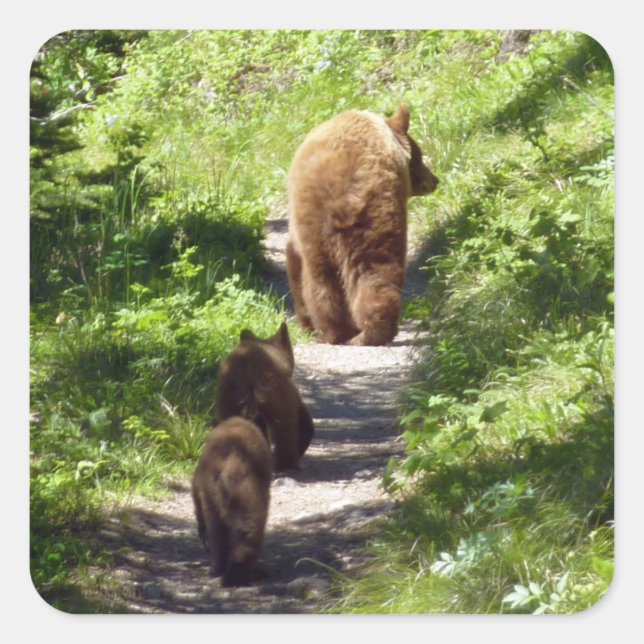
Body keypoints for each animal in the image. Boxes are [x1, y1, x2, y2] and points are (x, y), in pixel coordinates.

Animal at [192, 416, 272, 587]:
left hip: (214, 494)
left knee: (221, 533)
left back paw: (222, 568)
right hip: (250, 496)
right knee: (249, 530)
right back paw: (241, 572)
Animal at [286, 103, 439, 345]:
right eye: (420, 155)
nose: (434, 180)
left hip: (330, 224)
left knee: (326, 278)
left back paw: (339, 332)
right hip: (371, 217)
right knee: (373, 271)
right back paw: (365, 331)